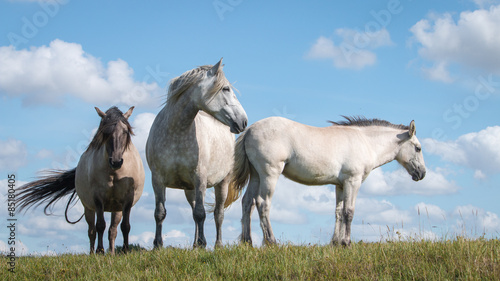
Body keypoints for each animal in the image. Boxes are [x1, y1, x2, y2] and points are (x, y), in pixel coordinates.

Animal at [16, 105, 145, 254]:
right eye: (105, 132)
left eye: (125, 131)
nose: (116, 161)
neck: (115, 172)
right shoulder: (98, 199)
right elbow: (100, 225)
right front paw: (100, 251)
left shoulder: (127, 200)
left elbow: (125, 226)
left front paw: (125, 250)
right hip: (88, 208)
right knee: (92, 231)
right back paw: (93, 252)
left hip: (116, 209)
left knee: (113, 230)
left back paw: (112, 253)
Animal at [146, 58, 248, 246]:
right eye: (225, 89)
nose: (243, 121)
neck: (176, 132)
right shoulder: (157, 179)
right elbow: (160, 213)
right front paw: (157, 244)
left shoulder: (200, 178)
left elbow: (201, 214)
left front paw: (202, 244)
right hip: (189, 189)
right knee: (195, 211)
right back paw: (194, 245)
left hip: (222, 183)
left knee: (218, 214)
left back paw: (217, 245)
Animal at [227, 116, 426, 245]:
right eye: (418, 148)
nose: (422, 173)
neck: (365, 142)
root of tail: (249, 129)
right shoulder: (353, 181)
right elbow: (349, 211)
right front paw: (346, 242)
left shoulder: (340, 185)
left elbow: (338, 212)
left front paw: (336, 242)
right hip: (269, 175)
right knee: (263, 203)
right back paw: (271, 241)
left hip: (256, 176)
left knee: (247, 203)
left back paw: (247, 242)